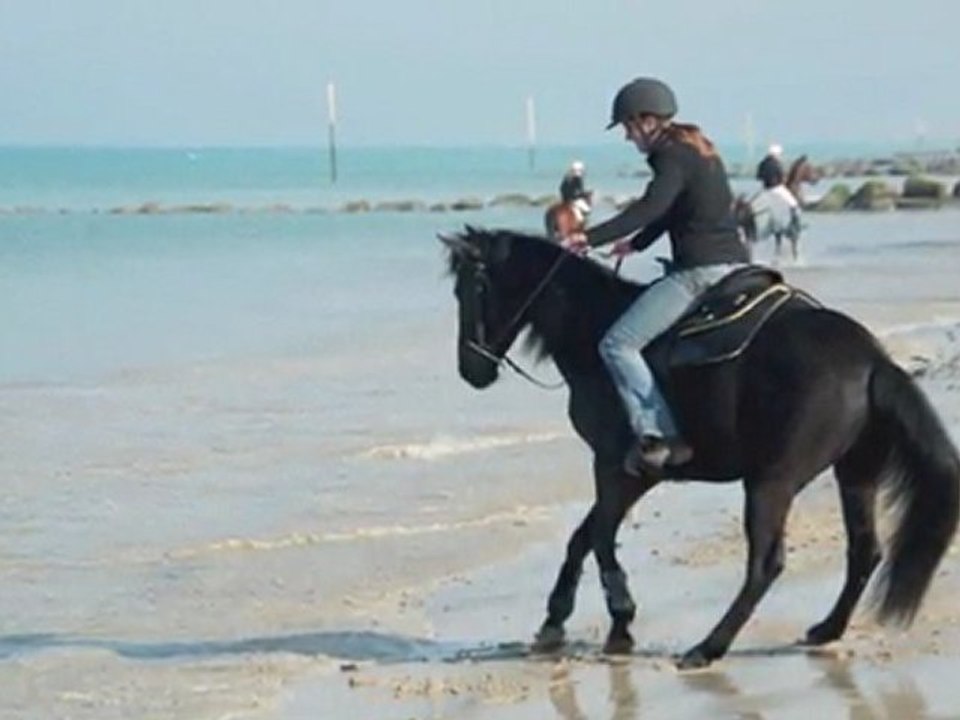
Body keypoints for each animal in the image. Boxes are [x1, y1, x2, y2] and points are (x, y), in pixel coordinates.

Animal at [441, 227, 959, 669]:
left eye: (473, 289)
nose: (471, 369)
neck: (591, 329)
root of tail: (872, 360)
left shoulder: (618, 467)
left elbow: (602, 538)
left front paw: (621, 621)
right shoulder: (634, 473)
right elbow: (583, 537)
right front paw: (554, 623)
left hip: (771, 481)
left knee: (765, 565)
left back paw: (707, 647)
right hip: (855, 472)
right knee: (864, 550)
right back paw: (825, 629)